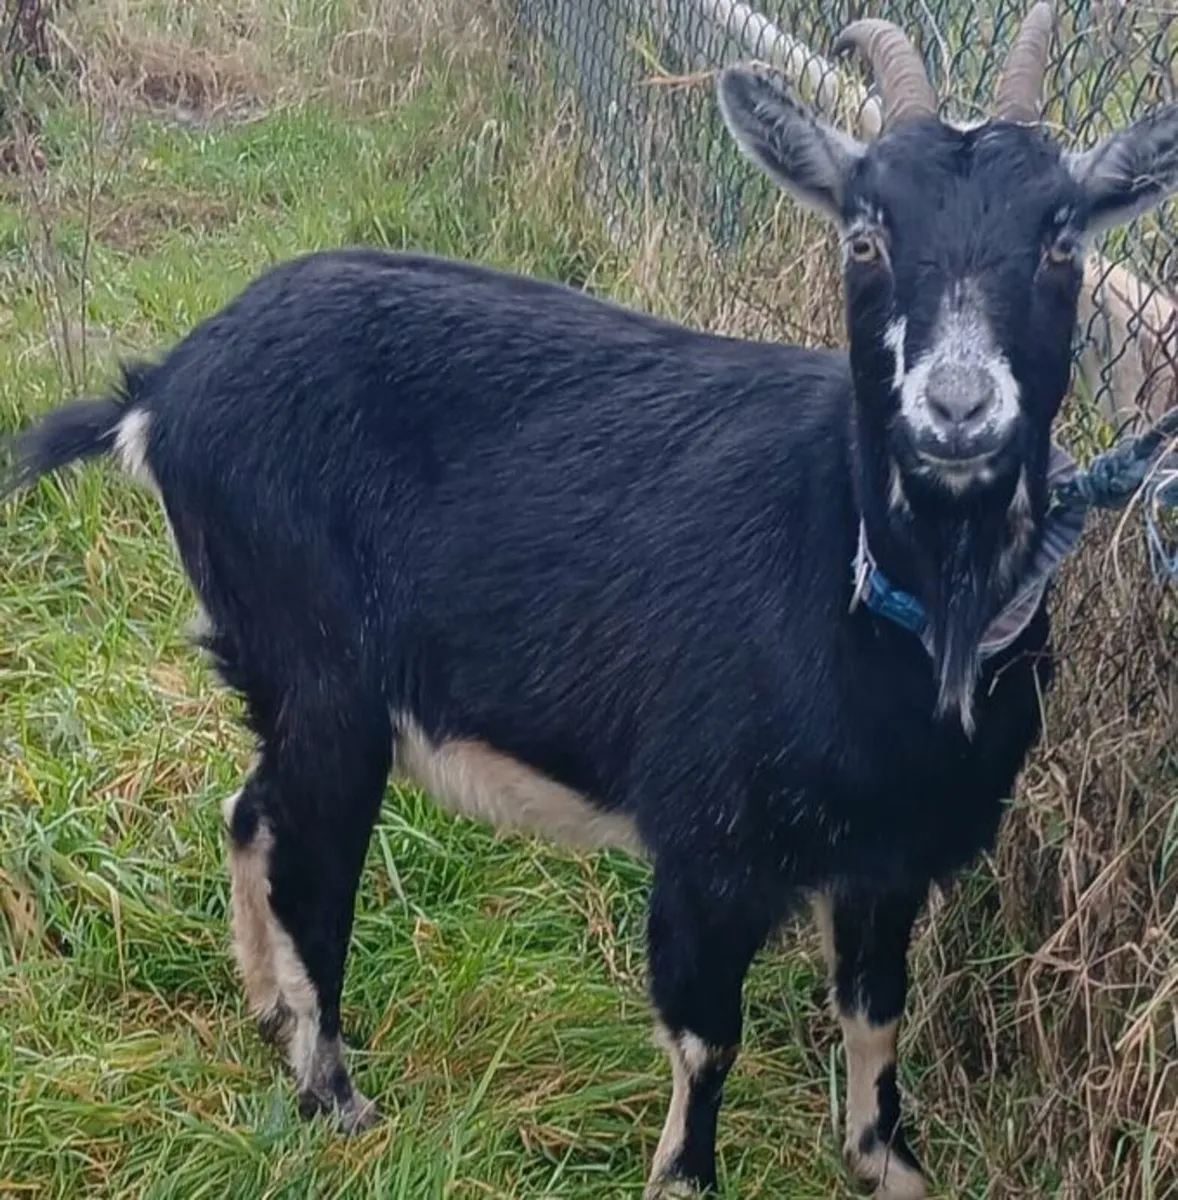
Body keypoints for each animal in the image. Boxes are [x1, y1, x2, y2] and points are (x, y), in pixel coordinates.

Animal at [4, 5, 1178, 1196]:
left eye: (1063, 237)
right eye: (864, 234)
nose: (956, 407)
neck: (885, 601)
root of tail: (161, 393)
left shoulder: (891, 858)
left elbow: (876, 1013)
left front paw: (883, 1162)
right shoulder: (710, 843)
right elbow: (706, 1036)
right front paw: (685, 1177)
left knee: (251, 813)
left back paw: (266, 1013)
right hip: (321, 668)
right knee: (310, 865)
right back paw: (330, 1090)